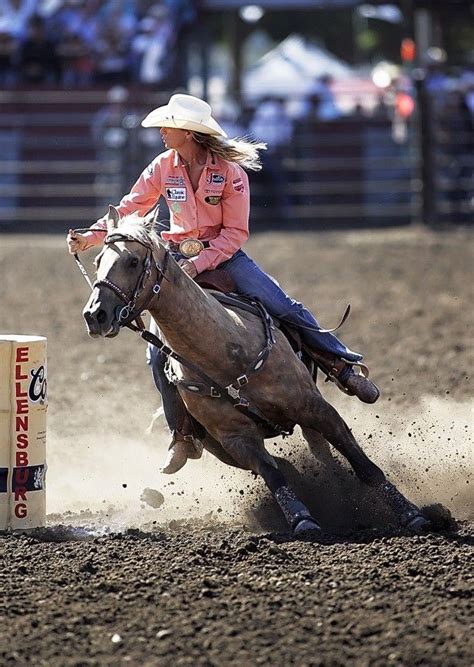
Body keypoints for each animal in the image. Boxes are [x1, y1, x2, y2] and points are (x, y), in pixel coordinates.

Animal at [82, 209, 434, 536]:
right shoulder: (236, 438)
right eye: (98, 260)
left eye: (132, 261)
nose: (94, 315)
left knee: (321, 448)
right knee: (288, 464)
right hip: (220, 447)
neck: (222, 347)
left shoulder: (316, 408)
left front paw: (410, 513)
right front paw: (301, 518)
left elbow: (362, 463)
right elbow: (273, 472)